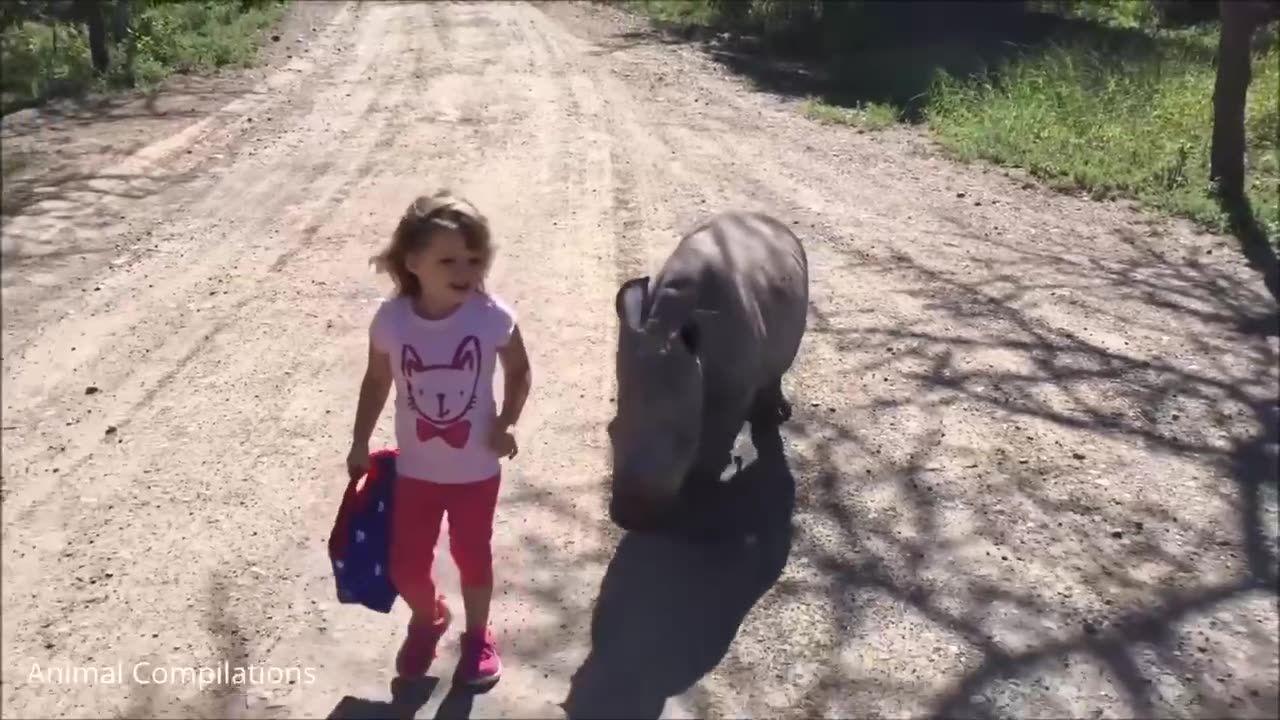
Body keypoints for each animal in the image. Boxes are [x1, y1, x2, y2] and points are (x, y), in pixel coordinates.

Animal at [609, 207, 808, 532]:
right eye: (610, 431)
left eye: (685, 440)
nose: (629, 517)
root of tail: (769, 220)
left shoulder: (732, 389)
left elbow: (716, 437)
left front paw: (700, 491)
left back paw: (773, 416)